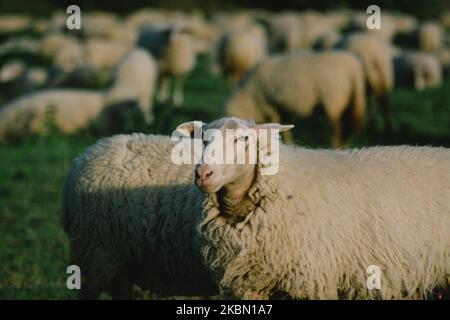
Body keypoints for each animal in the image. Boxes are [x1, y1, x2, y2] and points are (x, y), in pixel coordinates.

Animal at [221, 51, 366, 148]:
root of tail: (355, 68)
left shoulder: (269, 105)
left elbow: (276, 122)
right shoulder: (282, 107)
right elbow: (284, 125)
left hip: (333, 99)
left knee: (337, 128)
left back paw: (335, 146)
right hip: (349, 101)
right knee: (347, 127)